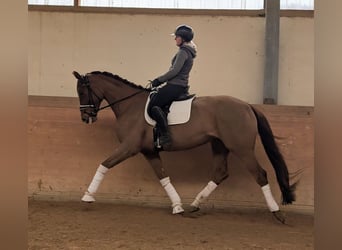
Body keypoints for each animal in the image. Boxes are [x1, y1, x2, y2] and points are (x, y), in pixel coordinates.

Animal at [73, 70, 296, 223]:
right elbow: (163, 177)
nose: (85, 117)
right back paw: (194, 205)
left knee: (260, 175)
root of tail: (247, 106)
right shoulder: (149, 151)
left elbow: (104, 165)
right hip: (220, 145)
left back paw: (277, 213)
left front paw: (87, 196)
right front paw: (177, 206)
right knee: (220, 173)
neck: (130, 106)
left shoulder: (129, 147)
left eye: (82, 91)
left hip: (241, 149)